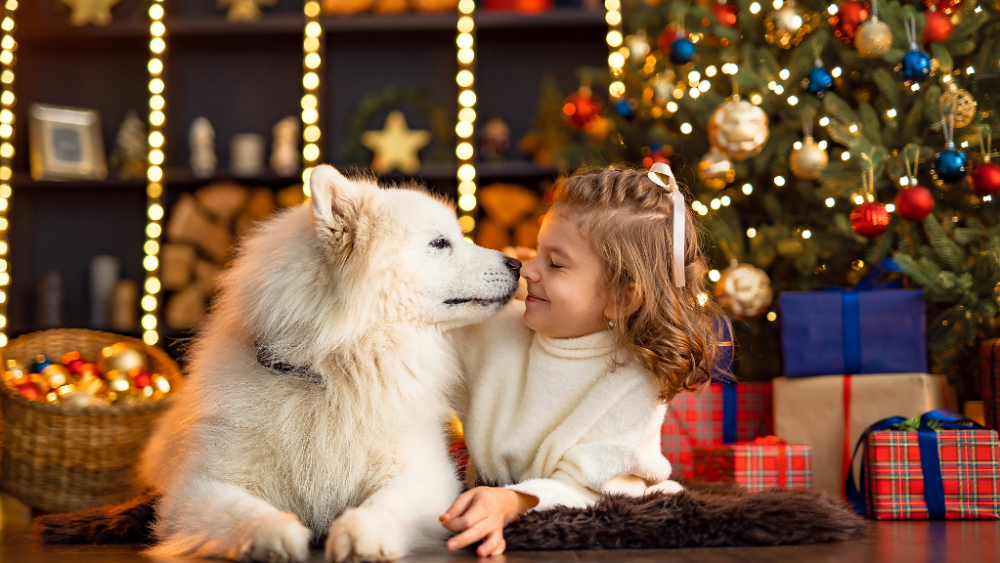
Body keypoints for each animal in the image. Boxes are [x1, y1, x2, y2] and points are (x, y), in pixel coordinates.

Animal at [137, 166, 520, 563]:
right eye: (440, 243)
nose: (517, 264)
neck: (329, 373)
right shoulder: (195, 490)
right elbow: (242, 512)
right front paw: (275, 537)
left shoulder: (425, 475)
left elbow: (385, 505)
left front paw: (360, 535)